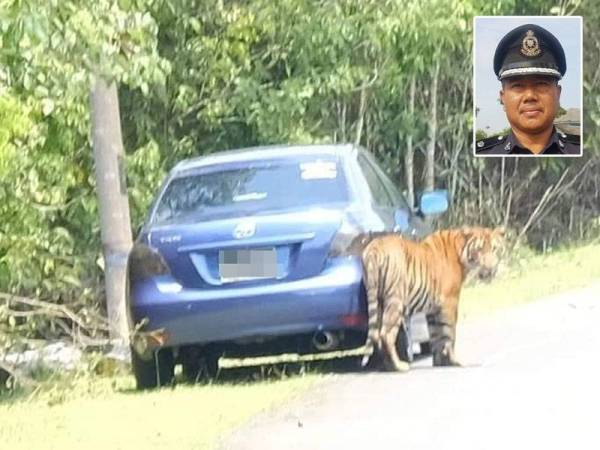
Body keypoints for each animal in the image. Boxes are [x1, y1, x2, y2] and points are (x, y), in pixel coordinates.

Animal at [360, 227, 506, 370]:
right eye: (479, 249)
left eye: (494, 248)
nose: (490, 269)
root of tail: (374, 247)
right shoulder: (450, 302)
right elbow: (449, 334)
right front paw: (454, 361)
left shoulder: (433, 309)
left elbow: (435, 336)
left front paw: (439, 362)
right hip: (395, 301)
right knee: (386, 334)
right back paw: (398, 366)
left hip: (378, 301)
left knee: (376, 335)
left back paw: (387, 365)